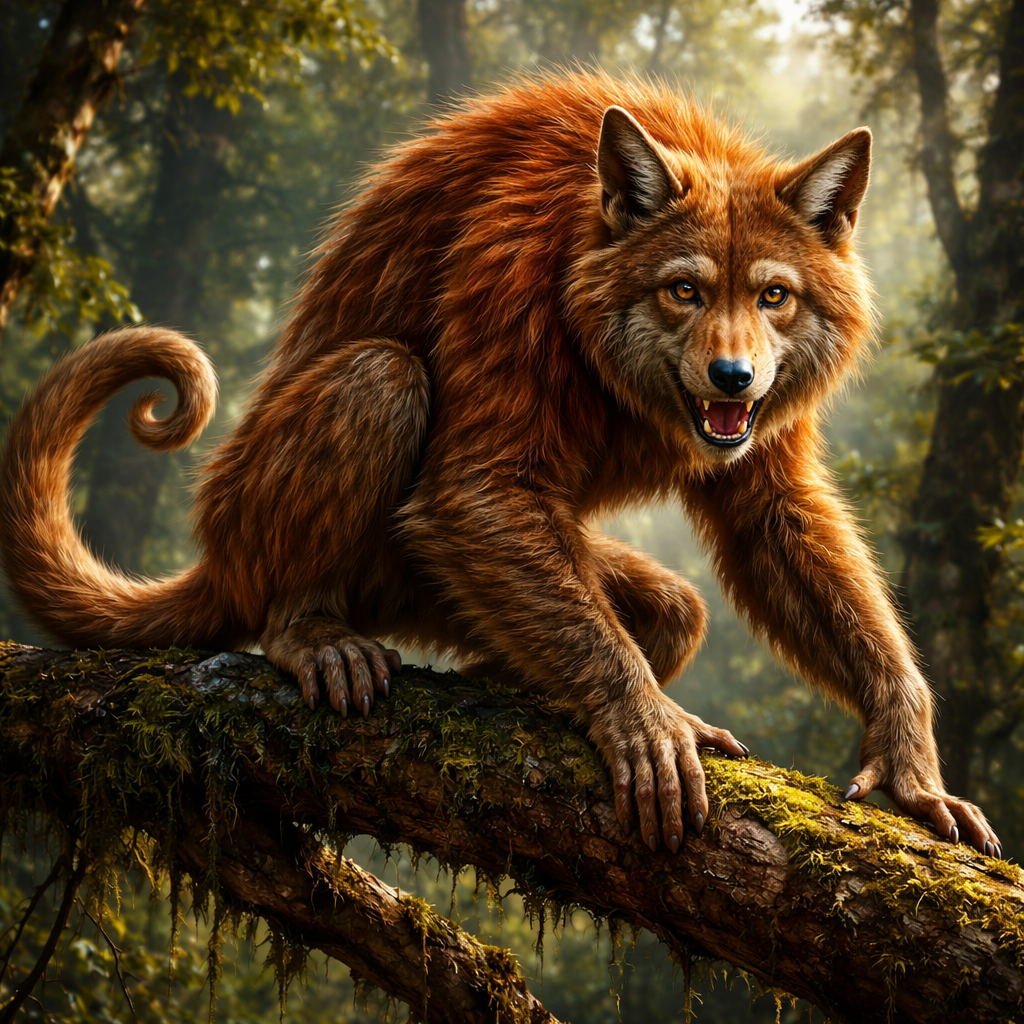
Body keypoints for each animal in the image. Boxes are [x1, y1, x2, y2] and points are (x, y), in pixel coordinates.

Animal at [0, 71, 999, 857]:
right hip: (355, 418)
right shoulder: (498, 338)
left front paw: (912, 767)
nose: (732, 376)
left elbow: (812, 565)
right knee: (354, 437)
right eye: (683, 290)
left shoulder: (768, 477)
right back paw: (316, 637)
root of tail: (212, 549)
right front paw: (647, 723)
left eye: (774, 296)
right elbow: (488, 497)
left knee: (672, 613)